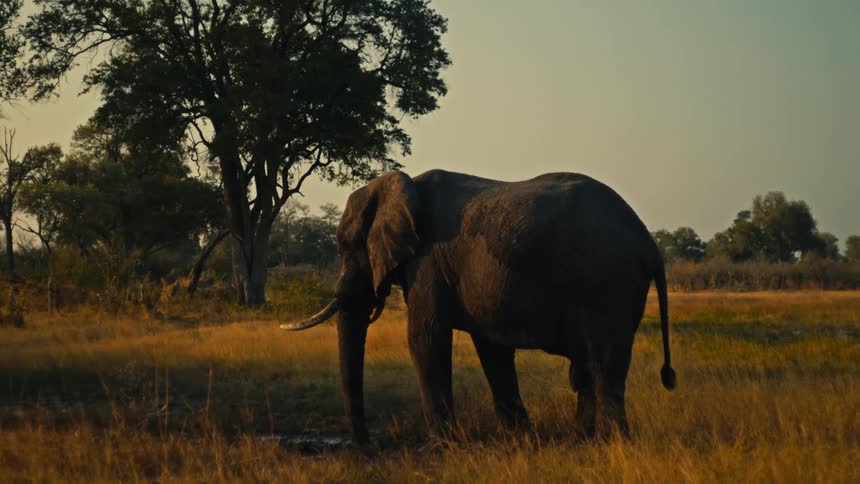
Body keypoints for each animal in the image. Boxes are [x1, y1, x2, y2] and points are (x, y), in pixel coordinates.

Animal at [282, 169, 675, 444]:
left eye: (346, 245)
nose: (367, 447)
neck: (401, 186)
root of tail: (648, 242)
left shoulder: (428, 262)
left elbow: (425, 338)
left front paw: (442, 446)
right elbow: (492, 349)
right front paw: (520, 441)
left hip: (607, 284)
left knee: (604, 364)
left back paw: (610, 443)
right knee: (590, 367)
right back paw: (583, 438)